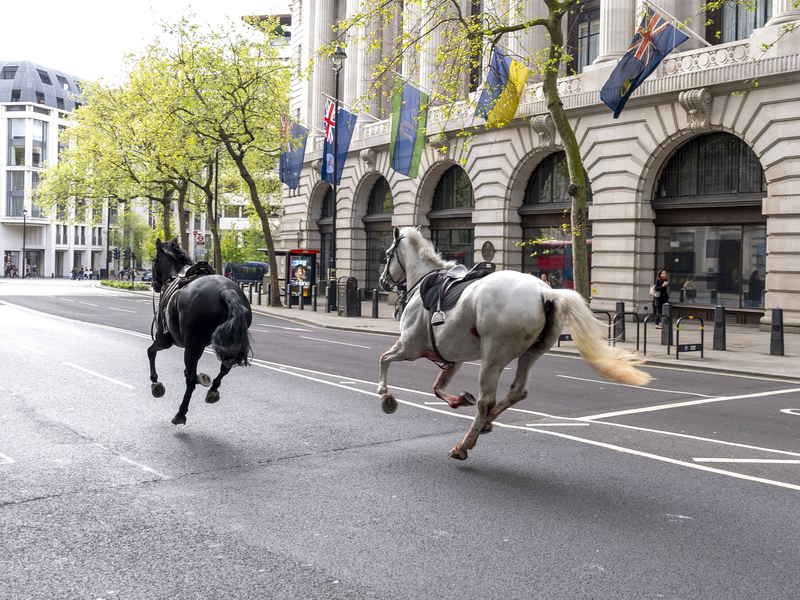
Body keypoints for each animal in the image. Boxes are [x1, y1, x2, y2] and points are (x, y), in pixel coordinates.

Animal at [148, 239, 253, 425]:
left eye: (154, 260)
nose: (154, 284)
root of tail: (225, 290)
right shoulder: (199, 345)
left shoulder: (165, 340)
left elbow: (151, 352)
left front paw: (156, 383)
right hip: (225, 343)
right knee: (225, 367)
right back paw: (212, 390)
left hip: (189, 345)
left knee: (190, 381)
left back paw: (180, 413)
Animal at [378, 226, 652, 461]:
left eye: (388, 254)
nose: (382, 282)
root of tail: (547, 292)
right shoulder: (452, 357)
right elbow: (437, 387)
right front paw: (458, 399)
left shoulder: (409, 347)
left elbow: (384, 359)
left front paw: (385, 395)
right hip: (531, 353)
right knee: (517, 391)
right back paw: (487, 423)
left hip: (493, 356)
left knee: (486, 401)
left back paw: (464, 444)